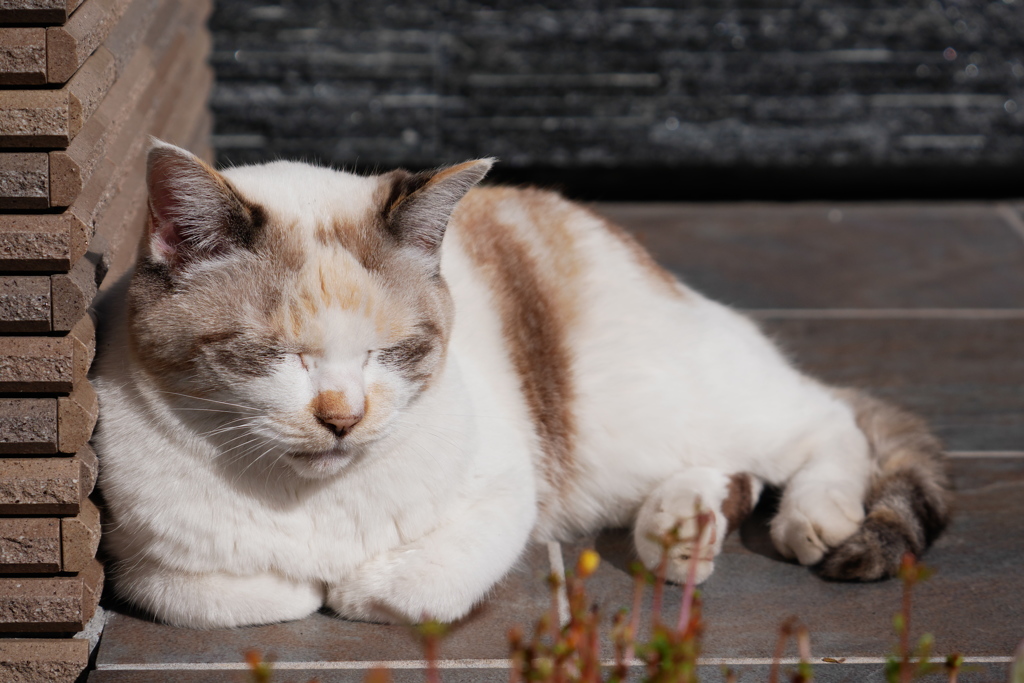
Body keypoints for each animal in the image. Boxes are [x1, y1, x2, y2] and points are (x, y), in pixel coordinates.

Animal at [92, 141, 954, 626]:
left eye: (390, 353)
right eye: (275, 354)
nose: (343, 416)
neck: (309, 501)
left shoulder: (506, 491)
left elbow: (404, 589)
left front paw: (357, 587)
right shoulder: (143, 562)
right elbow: (242, 594)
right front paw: (307, 586)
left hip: (650, 414)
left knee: (826, 415)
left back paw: (813, 516)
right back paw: (685, 529)